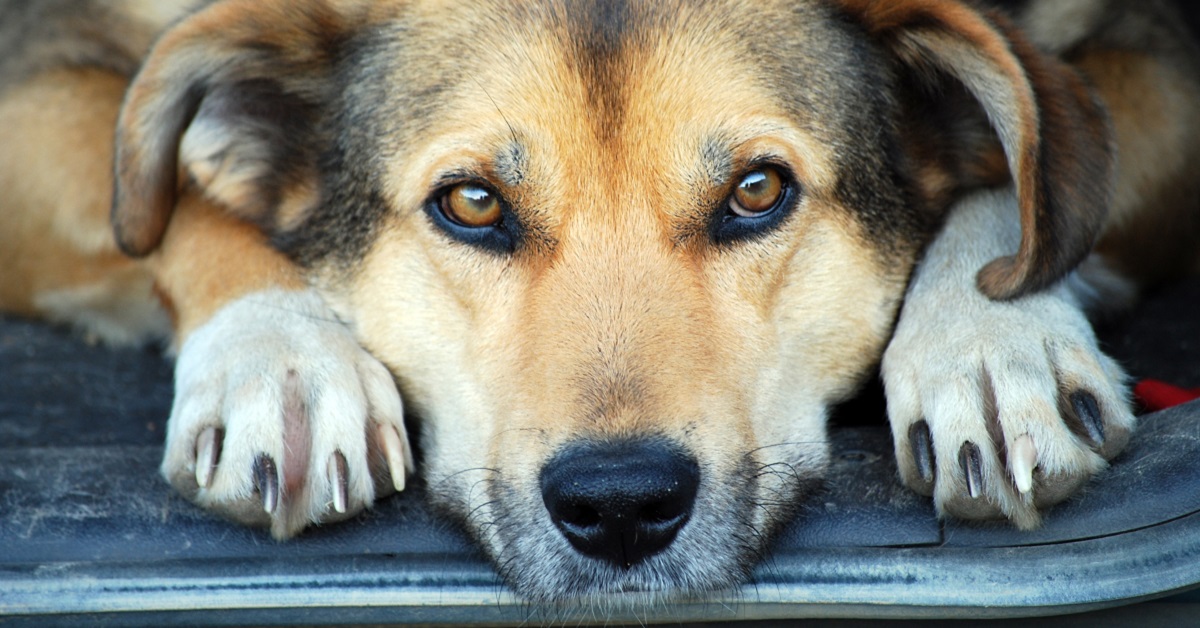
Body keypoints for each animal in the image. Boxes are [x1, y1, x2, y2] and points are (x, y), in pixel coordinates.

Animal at [2, 0, 1200, 605]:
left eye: (756, 192)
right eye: (473, 202)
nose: (620, 506)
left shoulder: (1154, 59)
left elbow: (1032, 176)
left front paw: (991, 344)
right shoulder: (38, 85)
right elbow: (176, 201)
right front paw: (281, 360)